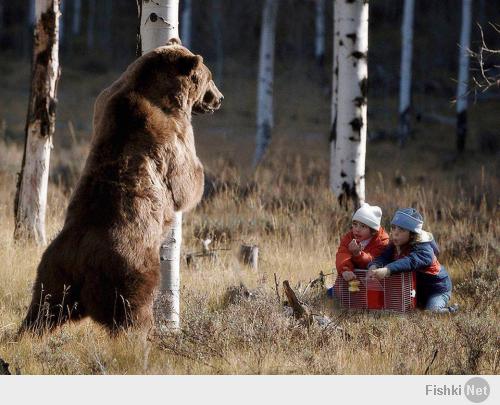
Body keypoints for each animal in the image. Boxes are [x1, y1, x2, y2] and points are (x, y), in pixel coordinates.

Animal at [19, 38, 223, 334]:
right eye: (210, 77)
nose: (219, 98)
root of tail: (82, 260)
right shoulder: (172, 132)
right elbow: (185, 181)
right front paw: (199, 179)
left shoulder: (105, 100)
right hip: (129, 272)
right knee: (132, 315)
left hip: (53, 274)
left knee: (41, 311)